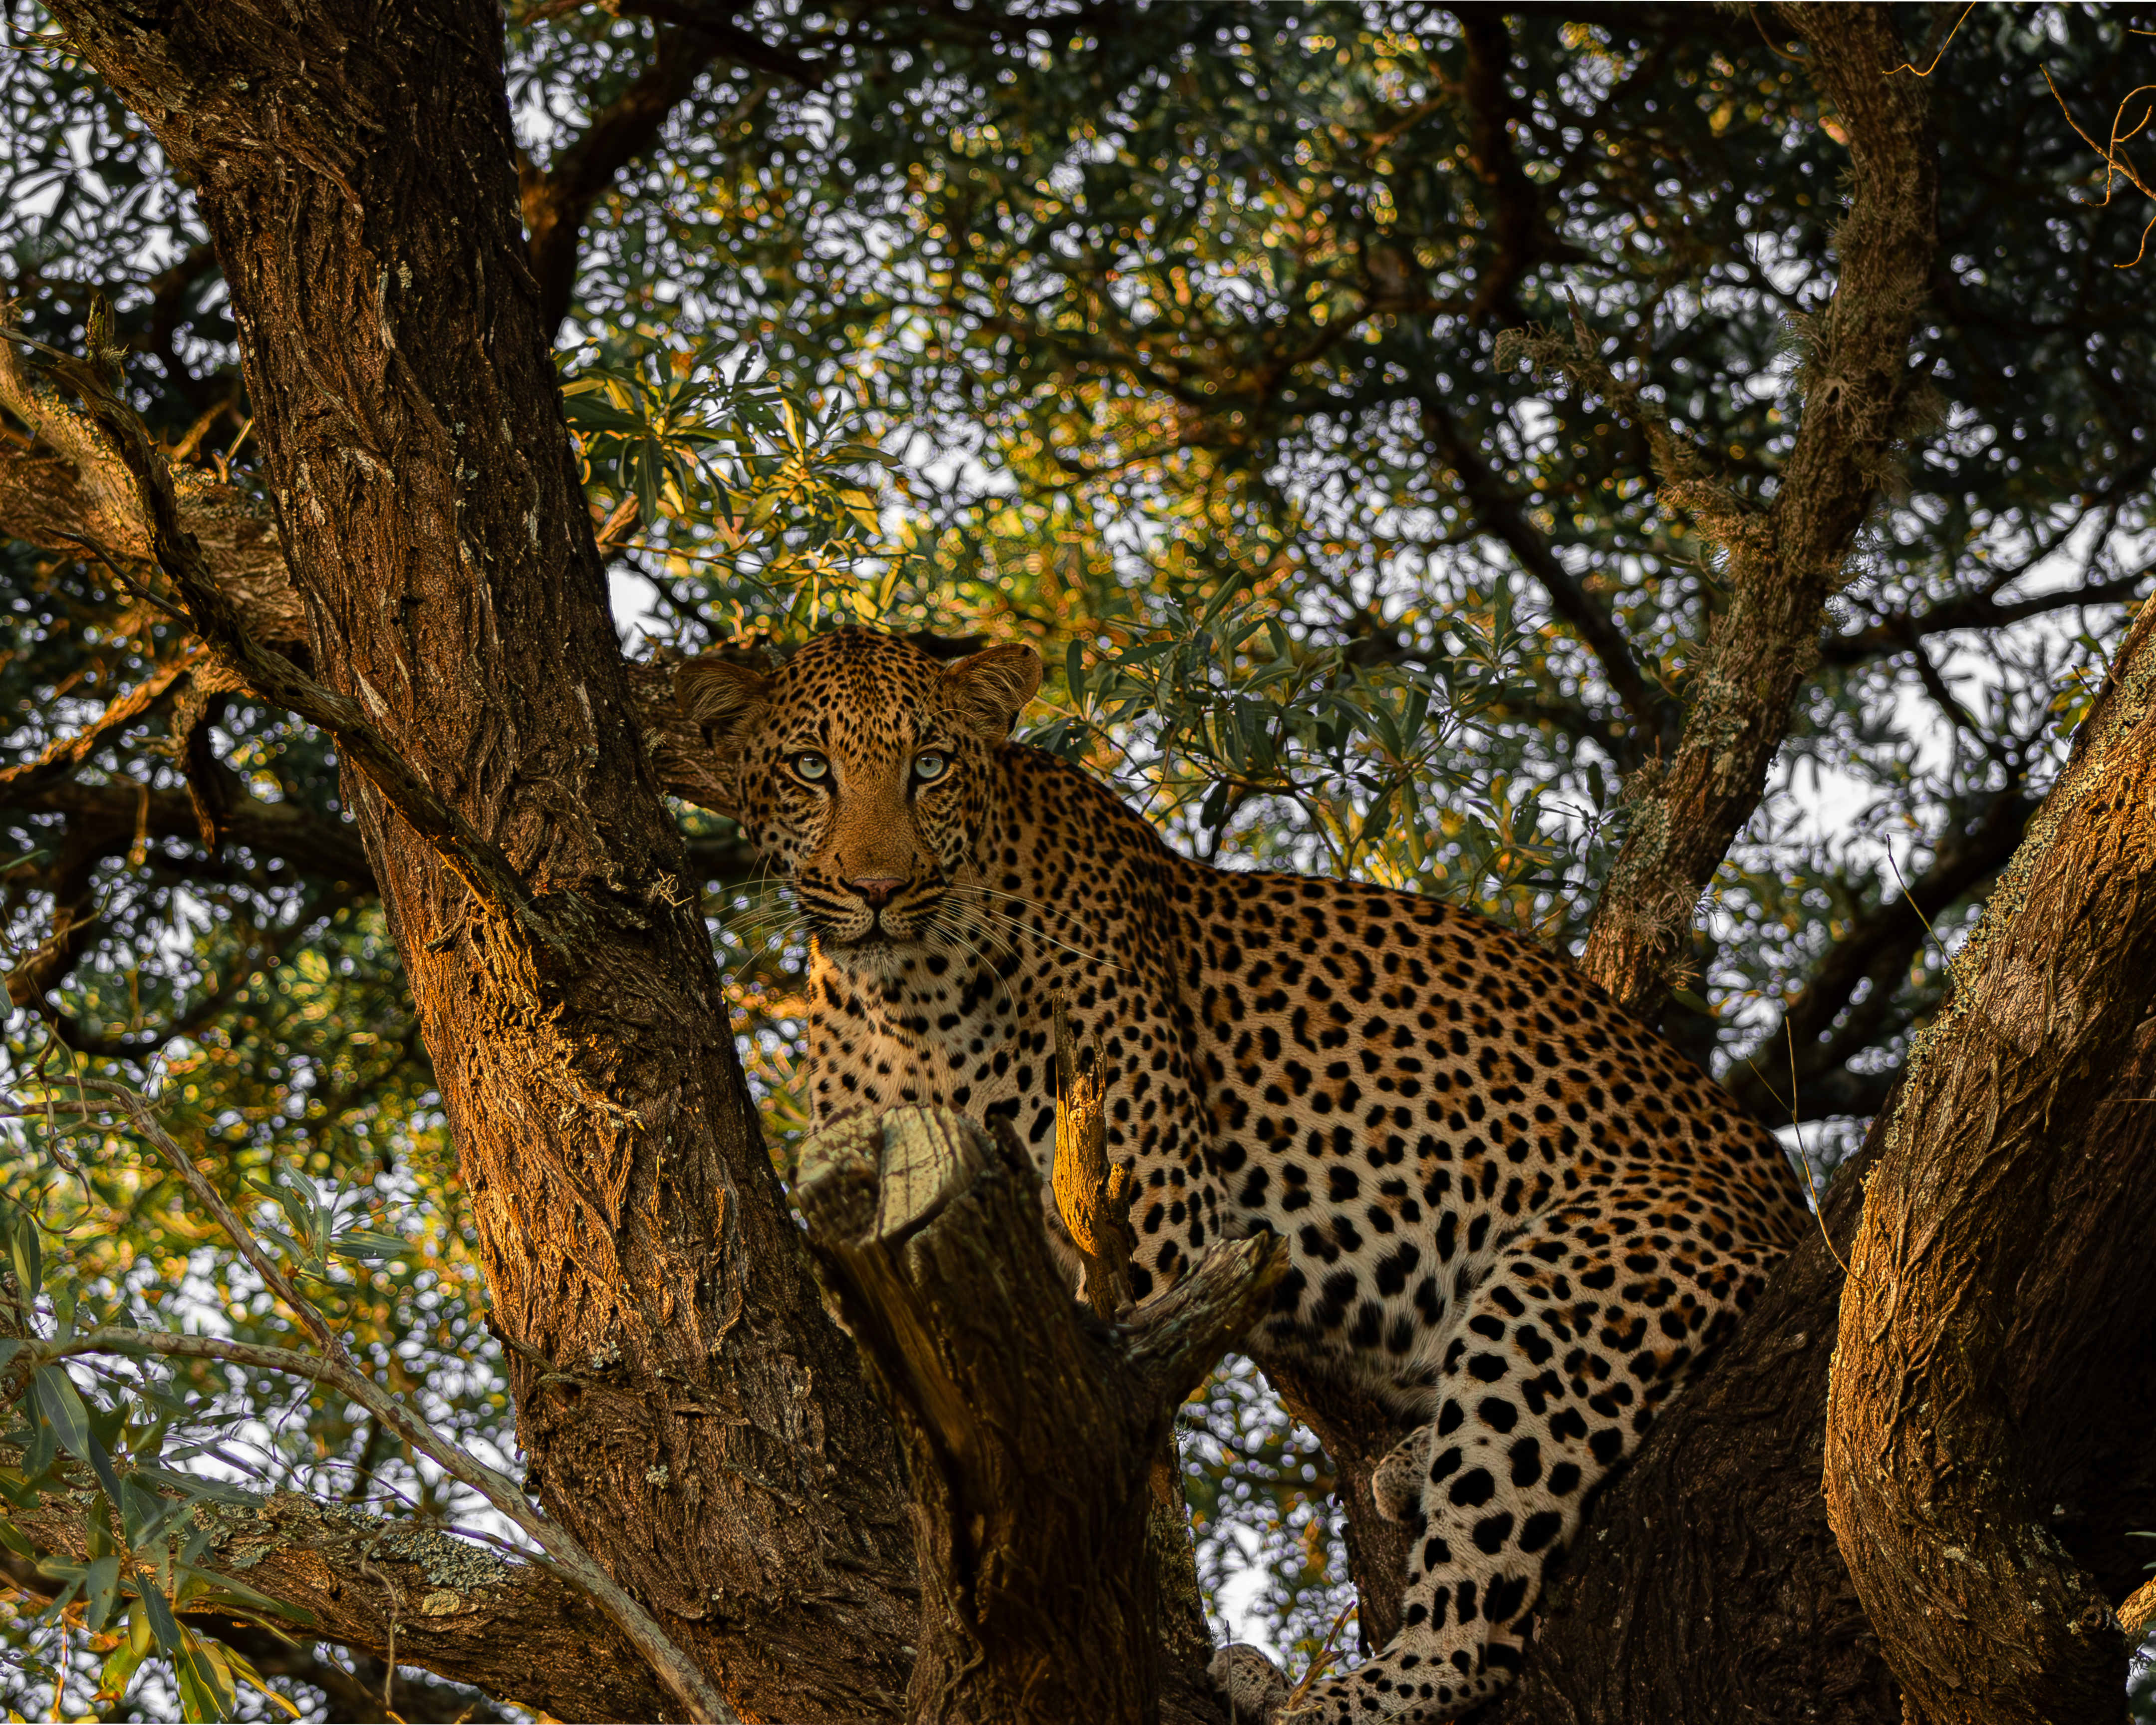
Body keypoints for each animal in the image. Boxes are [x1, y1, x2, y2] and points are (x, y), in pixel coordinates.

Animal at [677, 628, 1809, 1722]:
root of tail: (1794, 1210)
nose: (875, 890)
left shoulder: (1151, 1228)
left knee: (1475, 1634)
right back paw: (1398, 1480)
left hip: (1574, 1283)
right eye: (811, 768)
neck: (900, 995)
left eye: (929, 766)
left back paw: (1323, 1697)